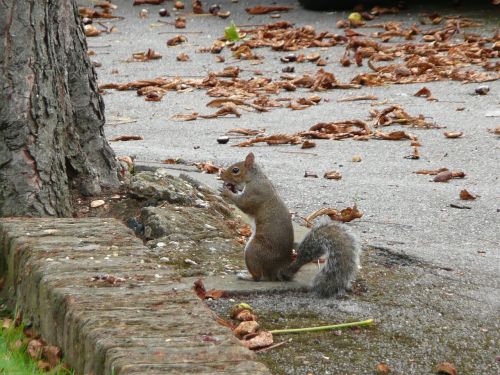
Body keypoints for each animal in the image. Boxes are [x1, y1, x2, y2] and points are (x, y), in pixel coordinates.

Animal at [222, 153, 360, 300]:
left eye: (235, 170)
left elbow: (243, 203)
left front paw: (225, 191)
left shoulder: (255, 193)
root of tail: (277, 271)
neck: (255, 177)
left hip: (253, 251)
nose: (222, 175)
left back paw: (246, 276)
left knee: (259, 277)